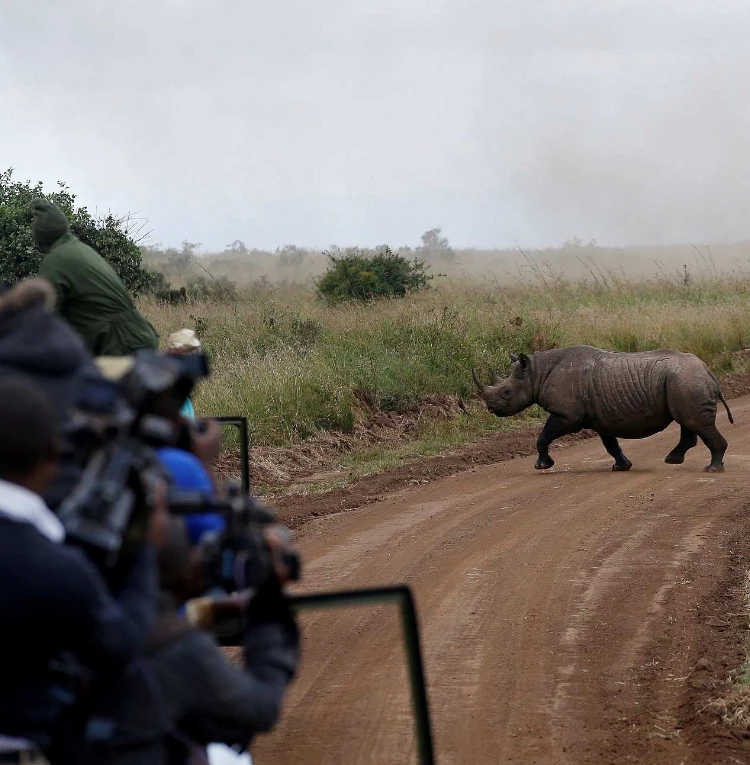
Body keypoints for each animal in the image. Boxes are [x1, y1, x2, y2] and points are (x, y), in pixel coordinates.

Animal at [472, 345, 734, 473]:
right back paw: (673, 460)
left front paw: (542, 466)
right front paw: (622, 467)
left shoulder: (568, 415)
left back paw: (712, 469)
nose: (491, 409)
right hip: (683, 381)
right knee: (688, 422)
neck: (536, 373)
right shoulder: (601, 418)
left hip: (686, 380)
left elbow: (544, 436)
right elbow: (611, 444)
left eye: (506, 393)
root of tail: (707, 369)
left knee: (694, 422)